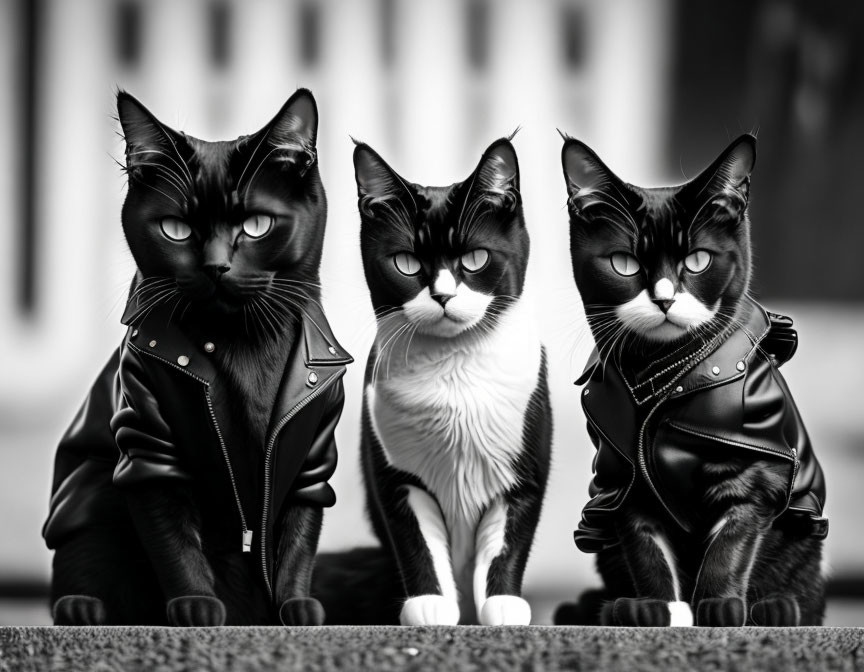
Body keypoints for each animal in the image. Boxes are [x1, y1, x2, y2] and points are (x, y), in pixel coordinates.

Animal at [42, 88, 352, 624]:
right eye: (175, 229)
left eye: (256, 224)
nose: (215, 267)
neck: (243, 342)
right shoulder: (147, 445)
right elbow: (173, 538)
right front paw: (198, 607)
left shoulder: (312, 454)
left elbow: (298, 539)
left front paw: (296, 608)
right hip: (92, 491)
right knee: (85, 558)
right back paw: (84, 608)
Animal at [552, 134, 832, 628]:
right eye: (623, 263)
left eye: (698, 259)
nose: (664, 299)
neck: (662, 376)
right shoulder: (623, 480)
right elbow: (646, 551)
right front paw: (655, 608)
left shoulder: (755, 473)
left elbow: (731, 541)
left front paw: (719, 606)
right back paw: (609, 607)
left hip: (804, 545)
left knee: (806, 594)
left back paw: (777, 607)